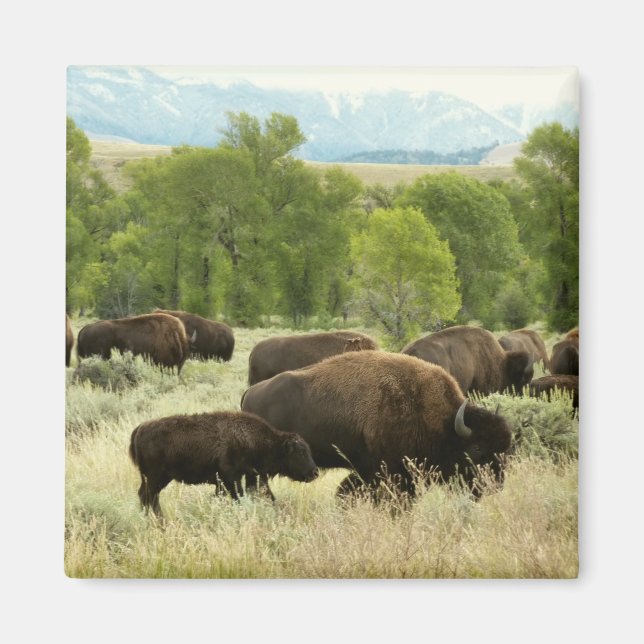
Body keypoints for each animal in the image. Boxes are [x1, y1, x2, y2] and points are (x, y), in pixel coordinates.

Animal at [129, 411, 319, 517]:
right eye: (301, 452)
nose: (315, 472)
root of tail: (140, 429)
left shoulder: (240, 478)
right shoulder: (231, 478)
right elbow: (238, 497)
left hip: (157, 478)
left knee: (147, 497)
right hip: (155, 477)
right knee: (148, 497)